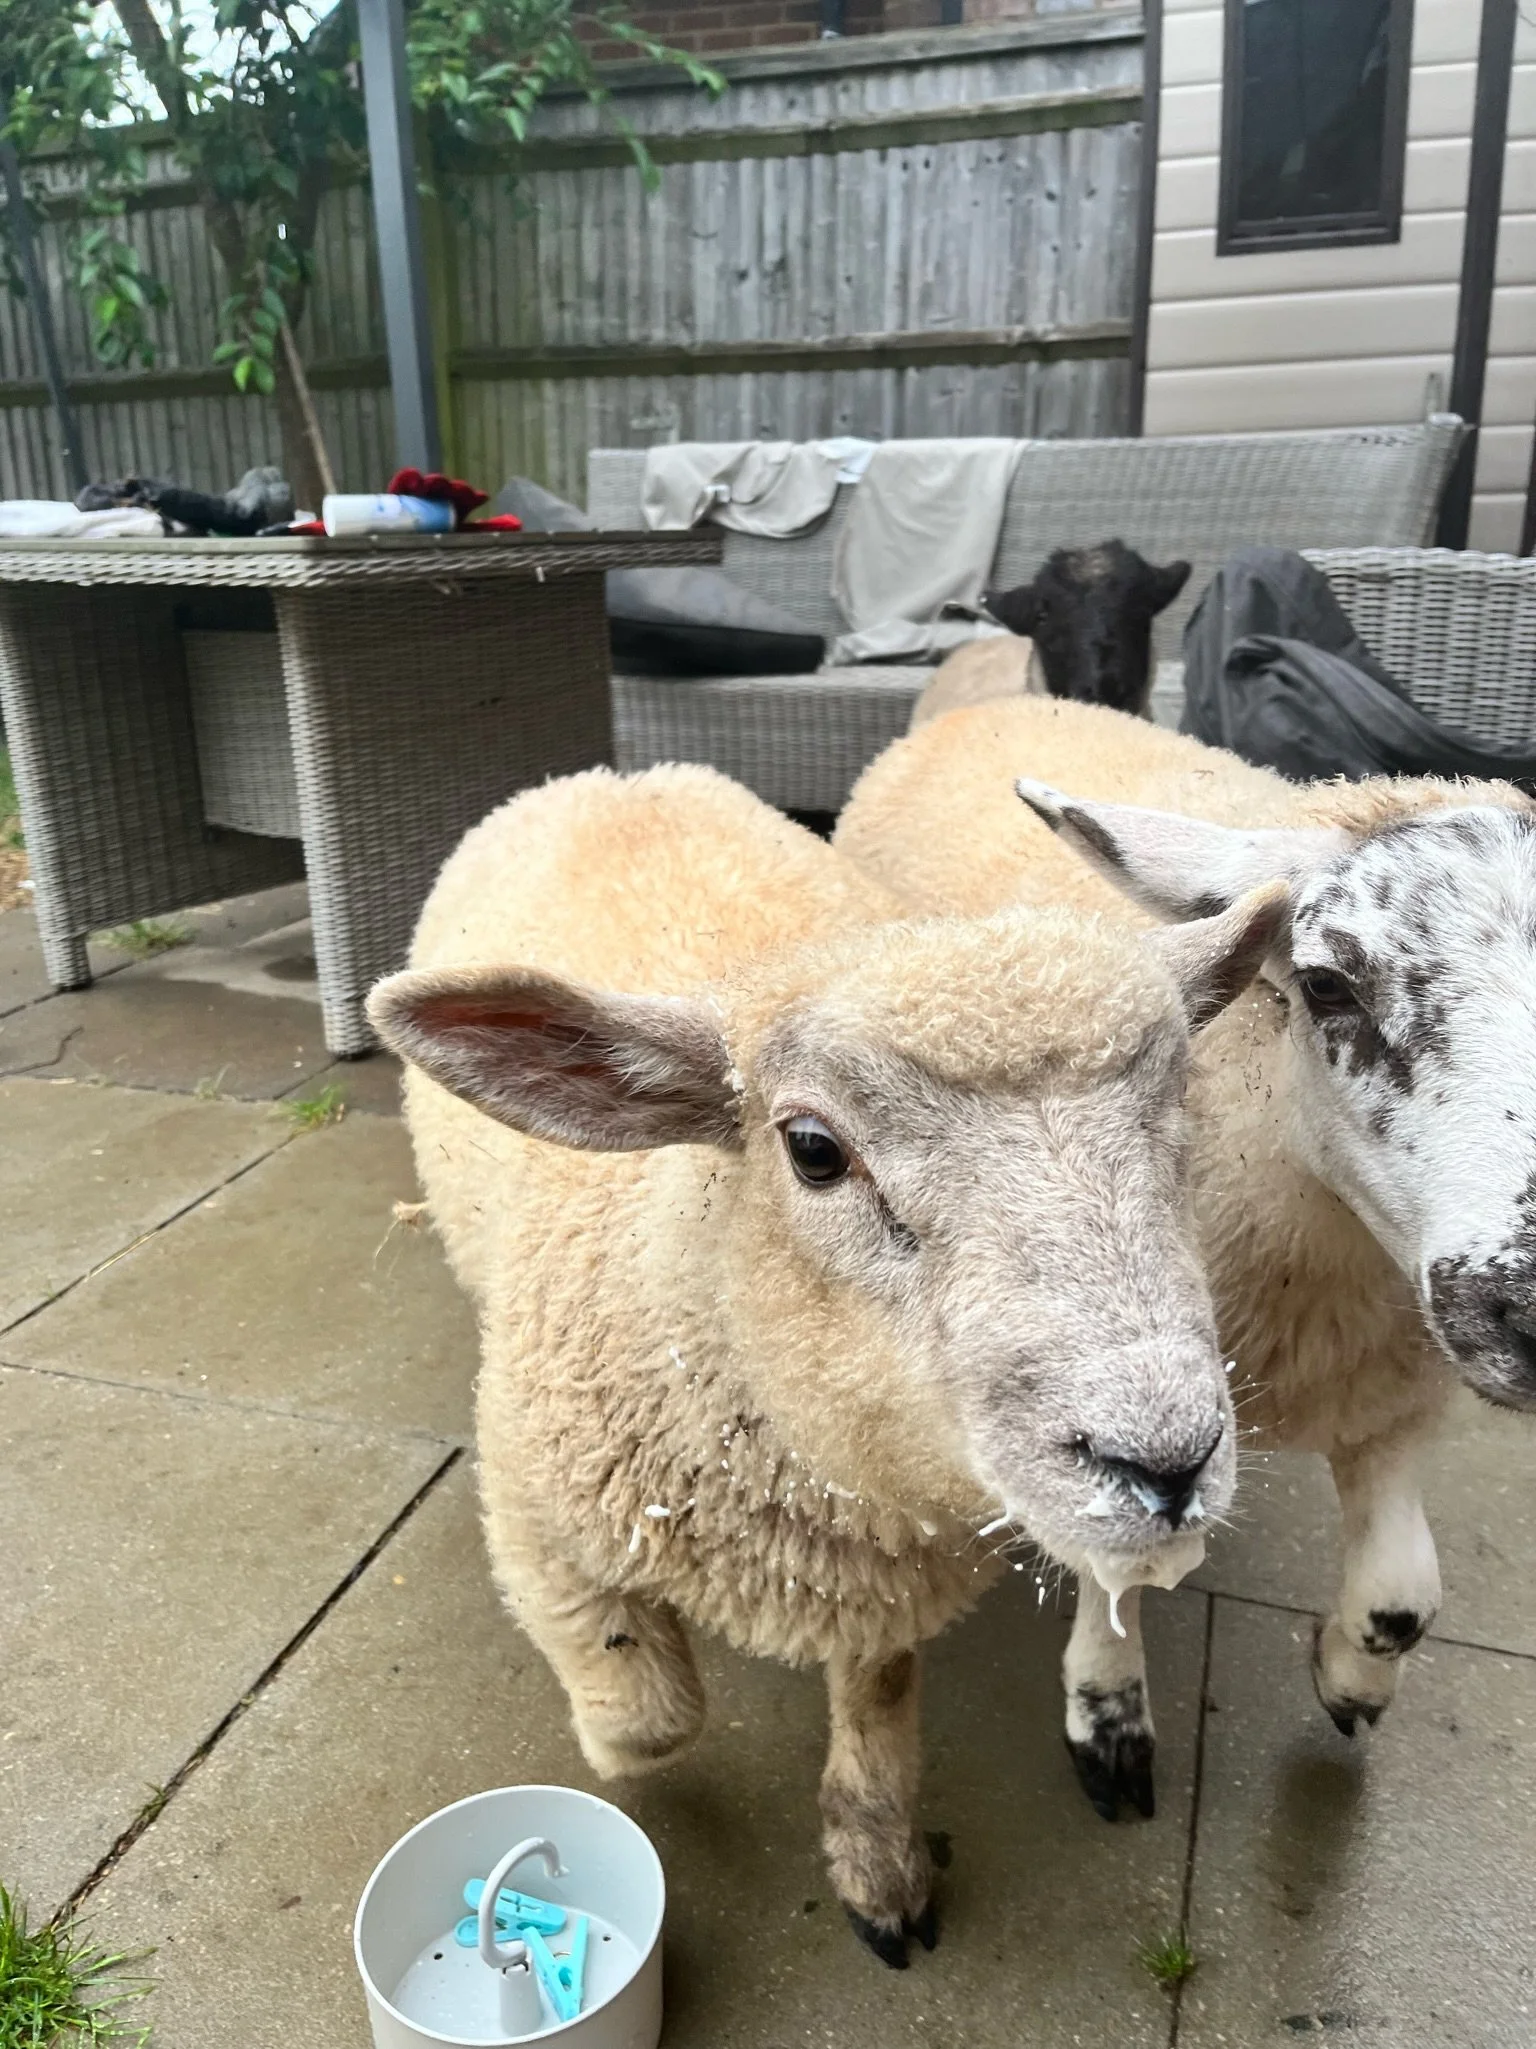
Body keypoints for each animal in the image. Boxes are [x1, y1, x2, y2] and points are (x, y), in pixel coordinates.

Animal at [367, 761, 1287, 1964]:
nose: (1167, 1465)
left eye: (1180, 1110)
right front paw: (609, 1752)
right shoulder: (534, 1517)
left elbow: (880, 1704)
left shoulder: (879, 1574)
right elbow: (654, 1720)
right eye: (811, 1150)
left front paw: (877, 1865)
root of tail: (616, 771)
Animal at [835, 694, 1536, 1821]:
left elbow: (1403, 1599)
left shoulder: (1395, 1385)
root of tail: (987, 696)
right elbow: (1113, 1562)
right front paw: (1109, 1712)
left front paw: (1351, 1683)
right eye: (1327, 985)